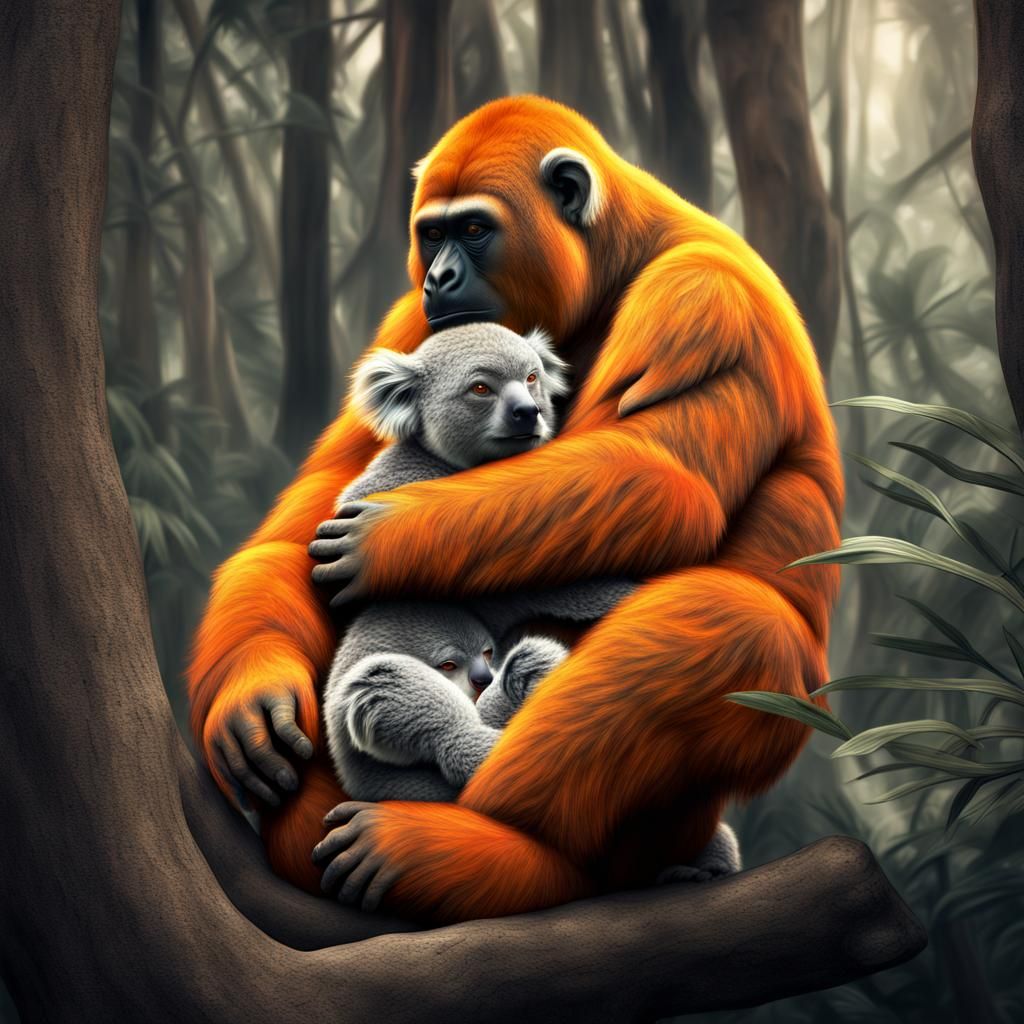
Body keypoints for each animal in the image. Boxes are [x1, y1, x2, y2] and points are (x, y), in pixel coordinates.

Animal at [188, 95, 842, 914]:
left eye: (474, 228)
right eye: (431, 232)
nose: (438, 277)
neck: (618, 259)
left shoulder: (703, 299)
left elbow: (664, 484)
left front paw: (392, 537)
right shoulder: (412, 331)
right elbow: (290, 535)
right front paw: (252, 696)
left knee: (719, 625)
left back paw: (474, 849)